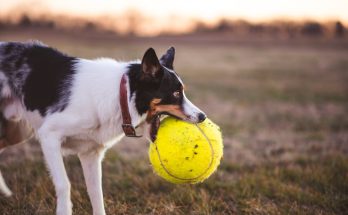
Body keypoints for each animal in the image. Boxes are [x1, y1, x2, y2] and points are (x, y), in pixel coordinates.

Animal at [0, 41, 205, 214]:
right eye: (176, 93)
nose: (202, 116)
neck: (121, 95)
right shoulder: (49, 136)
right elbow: (64, 184)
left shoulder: (90, 154)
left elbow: (96, 193)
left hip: (18, 131)